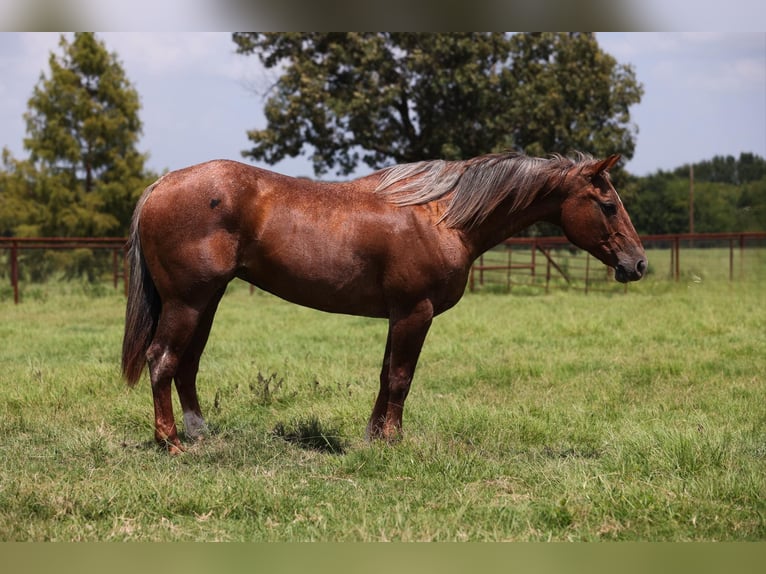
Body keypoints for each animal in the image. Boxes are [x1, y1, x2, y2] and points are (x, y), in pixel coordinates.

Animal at [121, 152, 646, 454]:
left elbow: (385, 375)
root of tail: (159, 186)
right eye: (608, 205)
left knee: (186, 363)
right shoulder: (416, 311)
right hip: (188, 302)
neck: (441, 216)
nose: (637, 264)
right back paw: (171, 443)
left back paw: (198, 434)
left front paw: (375, 437)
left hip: (206, 302)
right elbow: (400, 377)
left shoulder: (399, 314)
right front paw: (393, 442)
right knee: (162, 359)